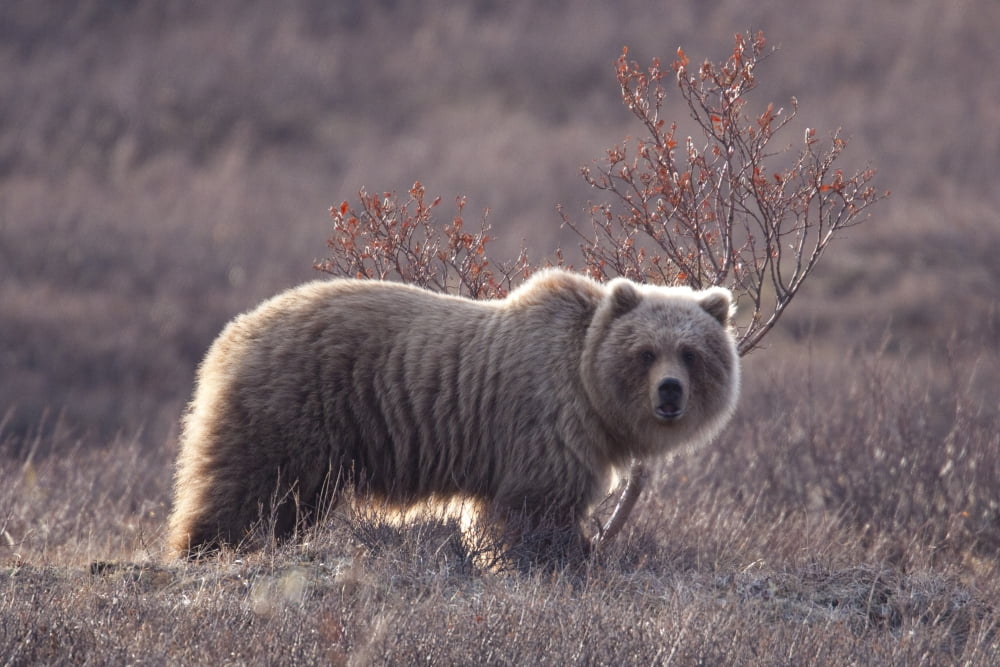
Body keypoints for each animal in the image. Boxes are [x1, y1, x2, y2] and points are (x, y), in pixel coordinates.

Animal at [166, 269, 740, 565]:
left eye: (691, 352)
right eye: (646, 351)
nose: (669, 392)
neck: (590, 391)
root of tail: (232, 333)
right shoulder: (545, 425)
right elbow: (535, 510)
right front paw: (560, 560)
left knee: (286, 505)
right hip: (291, 406)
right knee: (245, 489)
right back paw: (205, 548)